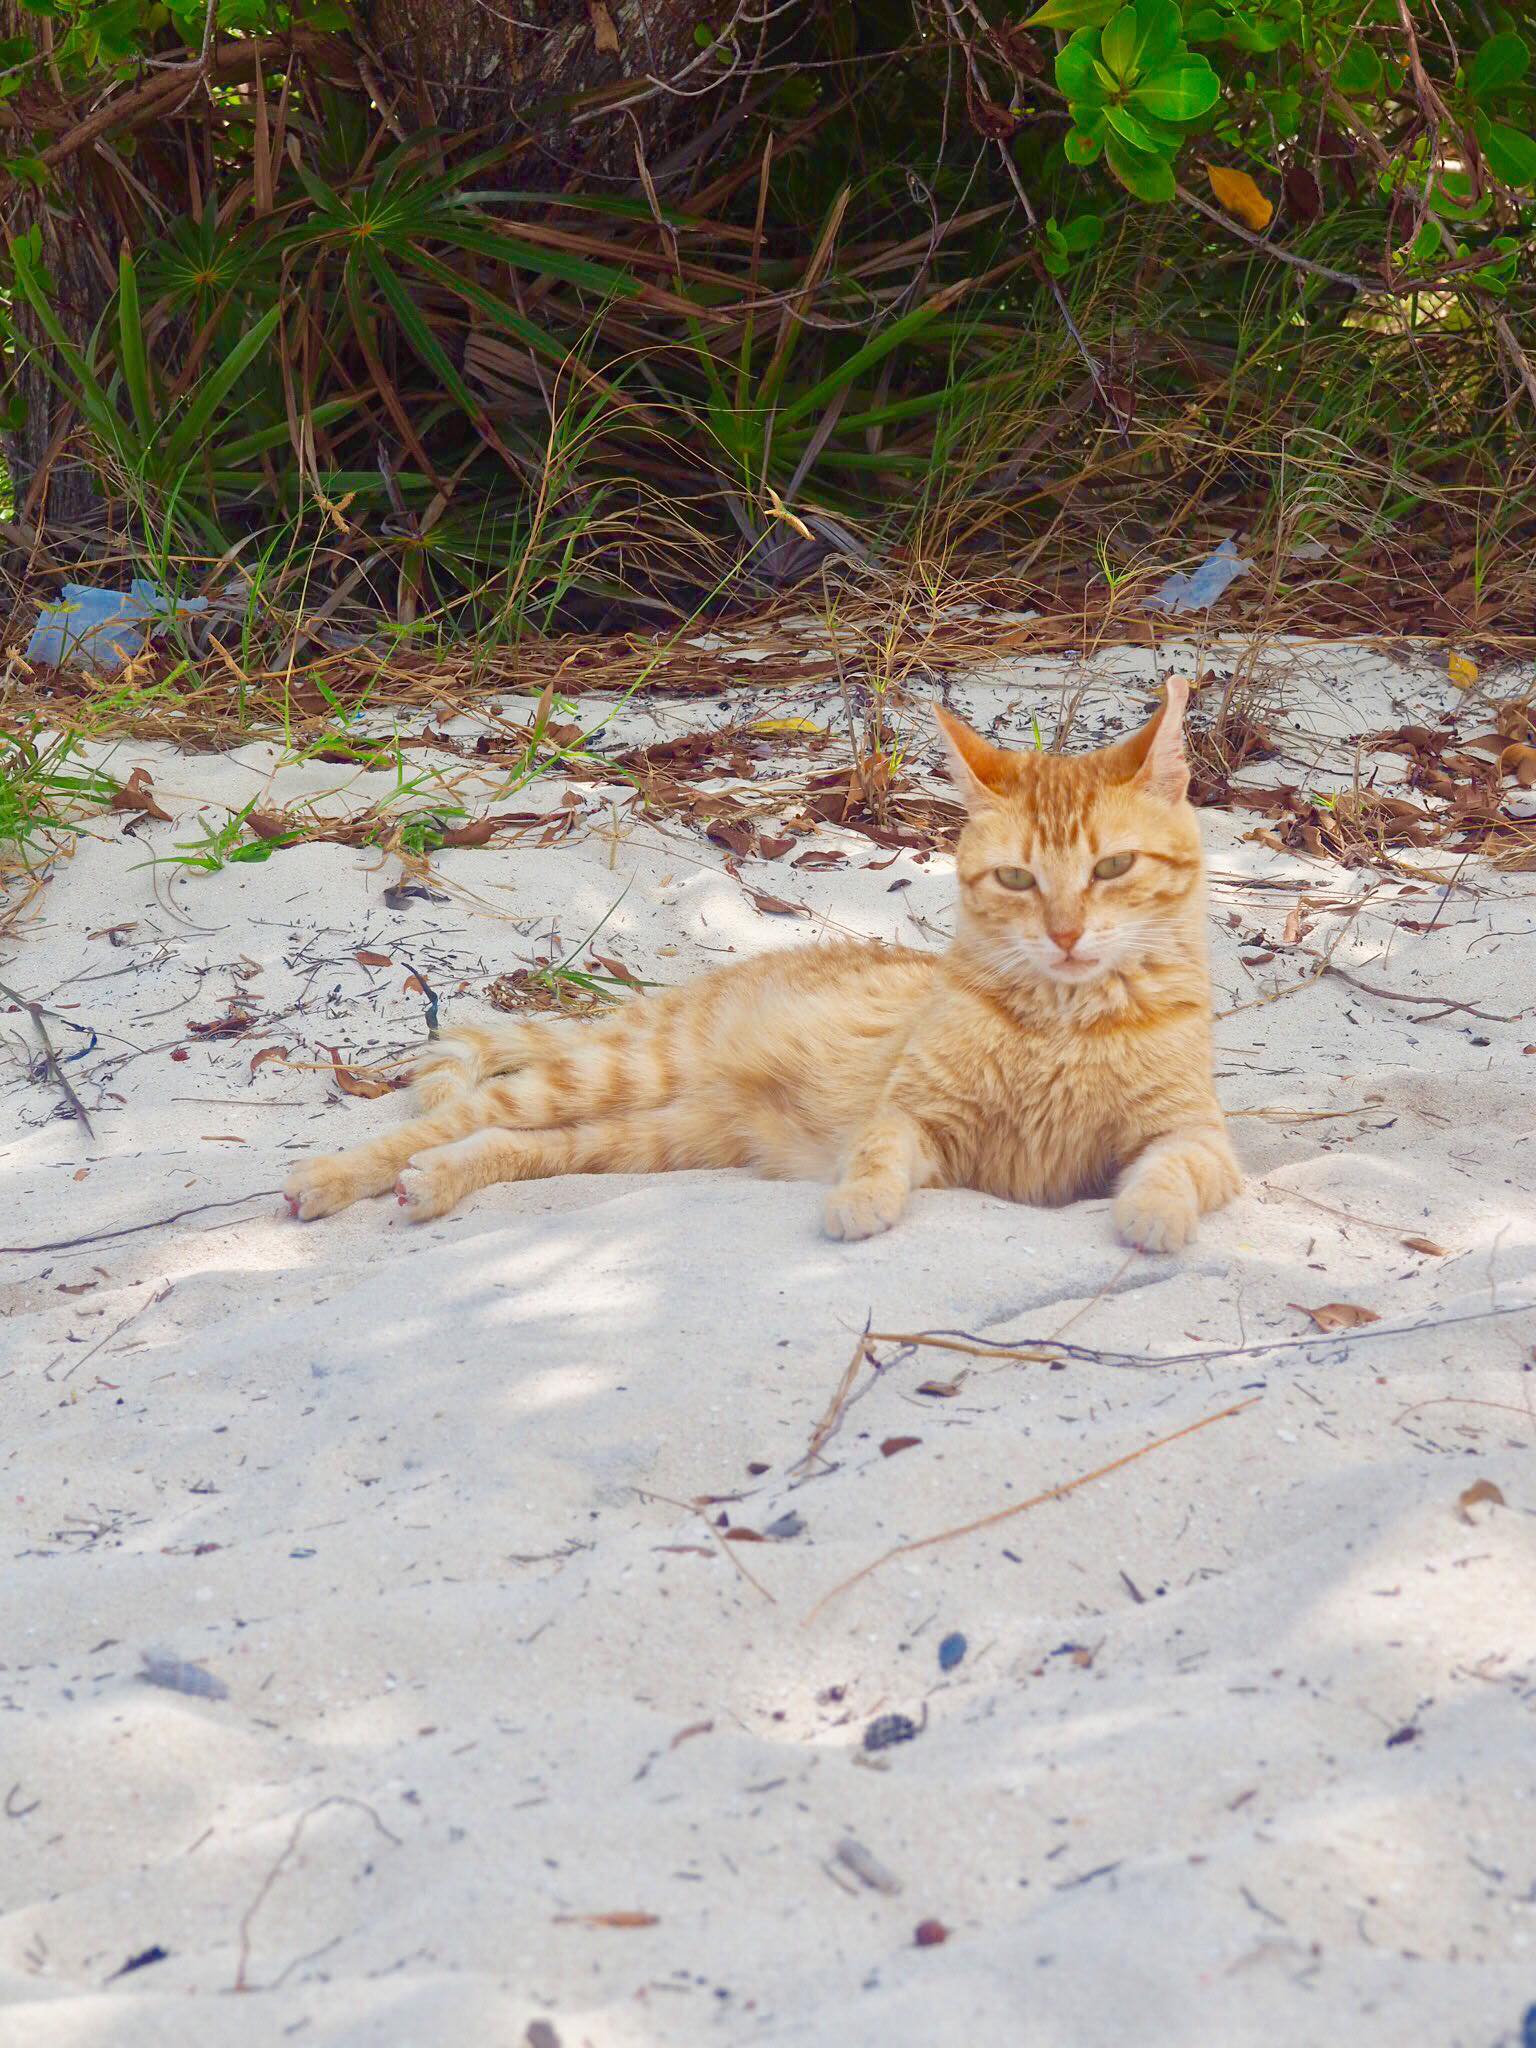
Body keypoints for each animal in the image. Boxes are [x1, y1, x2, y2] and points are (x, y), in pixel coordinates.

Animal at [288, 675, 1245, 1245]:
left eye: (1112, 868)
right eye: (1017, 878)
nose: (1067, 934)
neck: (1063, 1024)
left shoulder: (1195, 1135)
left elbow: (1175, 1170)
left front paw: (1153, 1215)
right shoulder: (915, 1119)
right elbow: (877, 1156)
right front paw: (858, 1203)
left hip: (662, 1136)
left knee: (508, 1142)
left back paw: (435, 1183)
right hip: (615, 1075)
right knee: (456, 1114)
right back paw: (330, 1179)